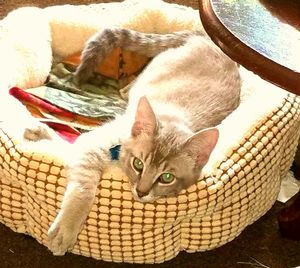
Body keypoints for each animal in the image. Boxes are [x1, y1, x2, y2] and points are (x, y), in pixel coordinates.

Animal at [22, 27, 241, 255]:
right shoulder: (94, 143)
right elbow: (83, 188)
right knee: (132, 84)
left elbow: (70, 146)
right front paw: (66, 230)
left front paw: (39, 132)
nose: (141, 192)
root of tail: (209, 39)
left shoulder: (88, 144)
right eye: (139, 164)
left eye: (167, 177)